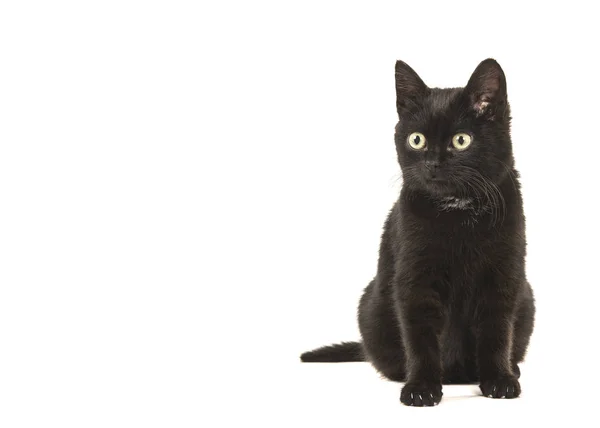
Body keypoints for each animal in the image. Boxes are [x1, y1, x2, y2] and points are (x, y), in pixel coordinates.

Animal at [302, 59, 536, 404]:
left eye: (461, 140)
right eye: (417, 140)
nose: (432, 163)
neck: (458, 211)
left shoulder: (503, 273)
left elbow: (496, 331)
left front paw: (499, 380)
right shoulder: (415, 278)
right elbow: (420, 336)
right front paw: (421, 387)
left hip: (527, 295)